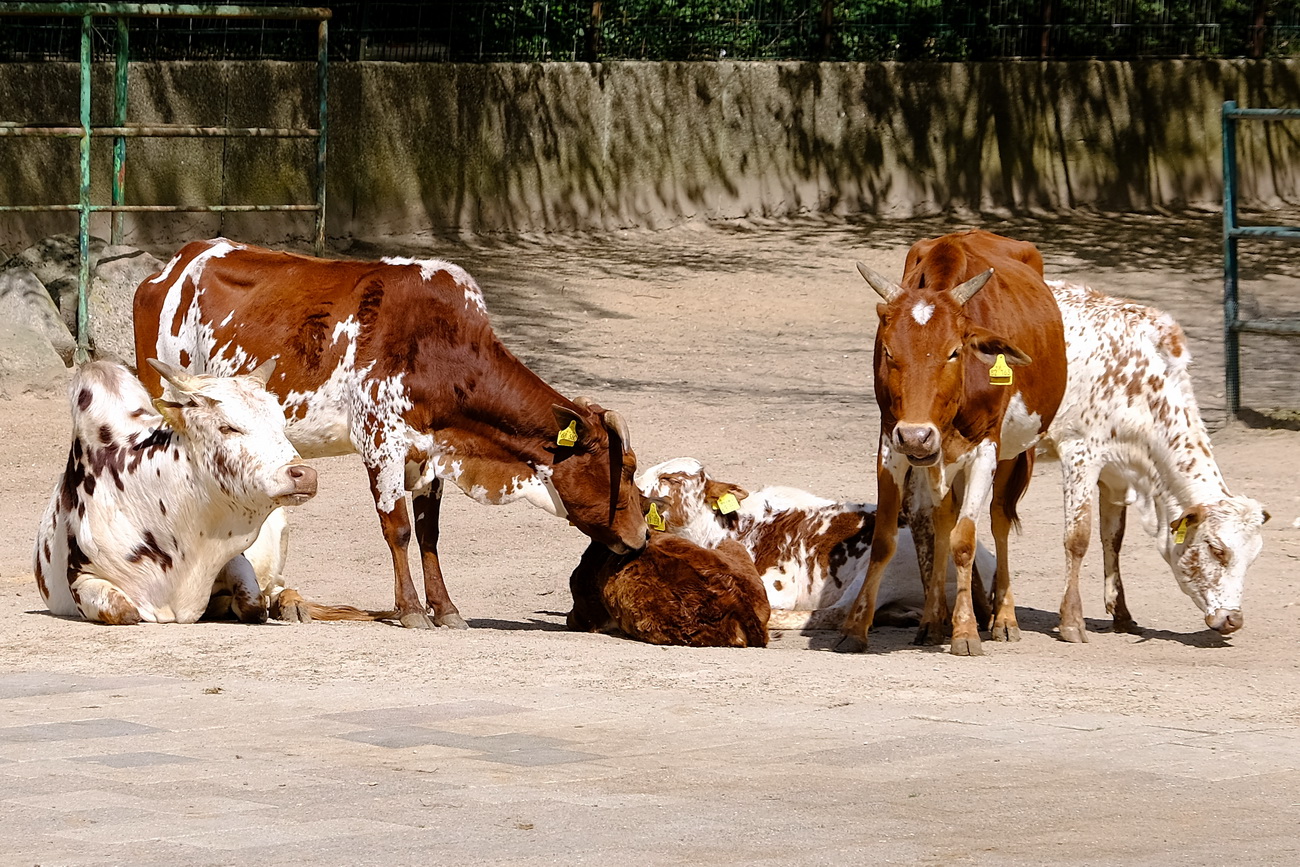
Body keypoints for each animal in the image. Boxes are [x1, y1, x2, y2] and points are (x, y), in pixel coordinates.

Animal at [33, 359, 318, 624]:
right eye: (227, 427)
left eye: (281, 425)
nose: (305, 475)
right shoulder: (82, 578)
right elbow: (123, 610)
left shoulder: (235, 559)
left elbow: (253, 603)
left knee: (276, 587)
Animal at [133, 239, 649, 630]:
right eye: (623, 468)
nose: (642, 535)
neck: (441, 351)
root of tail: (174, 265)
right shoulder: (381, 442)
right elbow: (397, 528)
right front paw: (411, 610)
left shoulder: (431, 452)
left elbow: (428, 534)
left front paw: (445, 608)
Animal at [635, 457, 995, 630]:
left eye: (670, 478)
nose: (636, 492)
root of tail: (987, 561)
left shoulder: (776, 586)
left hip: (891, 563)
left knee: (839, 612)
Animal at [841, 230, 1067, 655]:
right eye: (889, 351)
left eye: (954, 351)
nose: (917, 434)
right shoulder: (891, 444)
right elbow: (885, 540)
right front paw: (856, 627)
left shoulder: (984, 451)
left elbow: (965, 540)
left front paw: (966, 632)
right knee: (942, 518)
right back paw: (933, 620)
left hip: (1012, 454)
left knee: (997, 519)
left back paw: (1003, 618)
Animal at [1040, 281, 1268, 640]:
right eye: (1217, 549)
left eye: (1253, 556)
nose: (1233, 619)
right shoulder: (1079, 452)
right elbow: (1078, 538)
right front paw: (1072, 621)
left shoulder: (1115, 471)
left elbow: (1112, 538)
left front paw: (1121, 613)